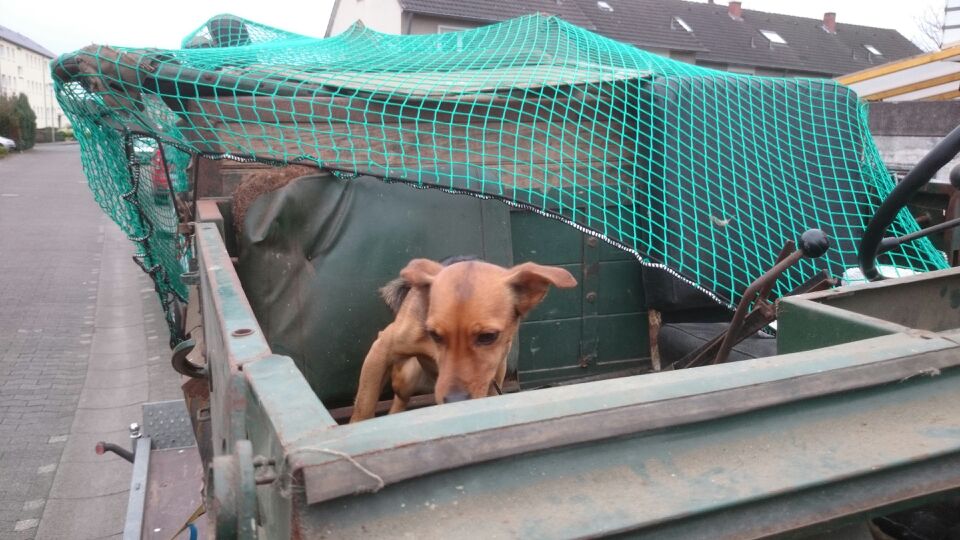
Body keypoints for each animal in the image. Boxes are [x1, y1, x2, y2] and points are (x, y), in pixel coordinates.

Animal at [352, 258, 576, 422]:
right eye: (434, 335)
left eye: (488, 336)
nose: (455, 401)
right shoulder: (380, 349)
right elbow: (363, 406)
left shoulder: (495, 373)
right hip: (406, 378)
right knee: (399, 400)